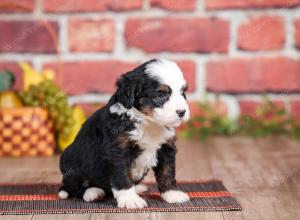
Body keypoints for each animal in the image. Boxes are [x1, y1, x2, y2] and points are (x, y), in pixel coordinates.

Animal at [58, 58, 190, 208]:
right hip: (71, 162)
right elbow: (123, 176)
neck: (148, 123)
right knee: (74, 187)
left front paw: (172, 194)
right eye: (160, 95)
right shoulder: (118, 150)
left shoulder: (166, 147)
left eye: (182, 92)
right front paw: (130, 199)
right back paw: (93, 193)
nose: (182, 112)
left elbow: (167, 172)